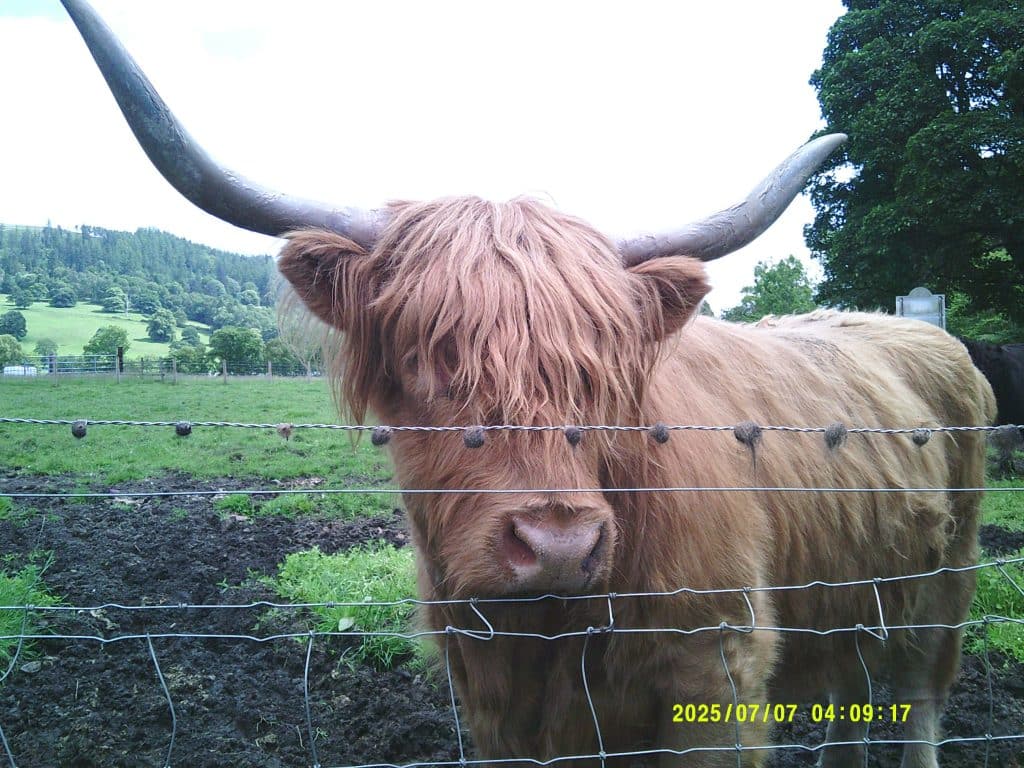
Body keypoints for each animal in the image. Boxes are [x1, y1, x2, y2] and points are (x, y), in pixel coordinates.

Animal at [60, 2, 996, 766]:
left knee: (919, 701)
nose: (558, 545)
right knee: (854, 697)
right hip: (856, 602)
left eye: (602, 371)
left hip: (946, 587)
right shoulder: (493, 703)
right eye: (427, 359)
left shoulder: (718, 674)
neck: (552, 633)